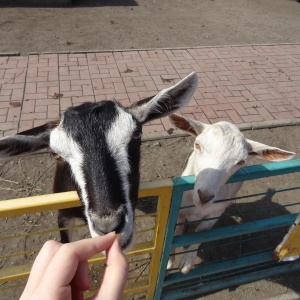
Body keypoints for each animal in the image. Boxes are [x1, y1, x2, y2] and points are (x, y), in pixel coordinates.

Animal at [168, 114, 296, 274]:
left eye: (241, 162)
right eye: (197, 145)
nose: (204, 196)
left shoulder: (215, 213)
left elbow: (200, 233)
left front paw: (187, 262)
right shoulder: (179, 210)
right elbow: (176, 232)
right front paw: (170, 260)